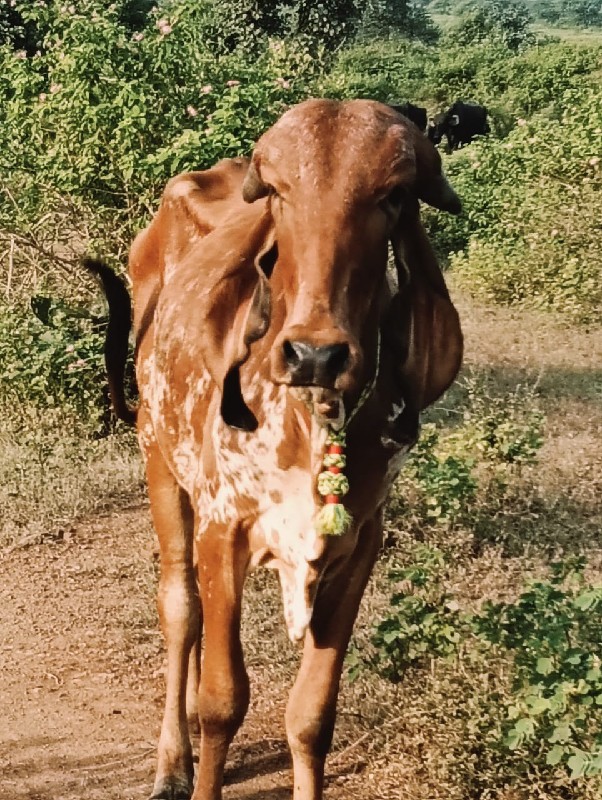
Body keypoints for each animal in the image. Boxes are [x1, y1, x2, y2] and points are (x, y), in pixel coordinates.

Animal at [86, 100, 462, 800]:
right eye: (281, 194)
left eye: (392, 197)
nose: (315, 353)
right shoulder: (222, 526)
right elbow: (222, 700)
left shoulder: (360, 543)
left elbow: (311, 716)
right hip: (160, 463)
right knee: (182, 609)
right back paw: (172, 762)